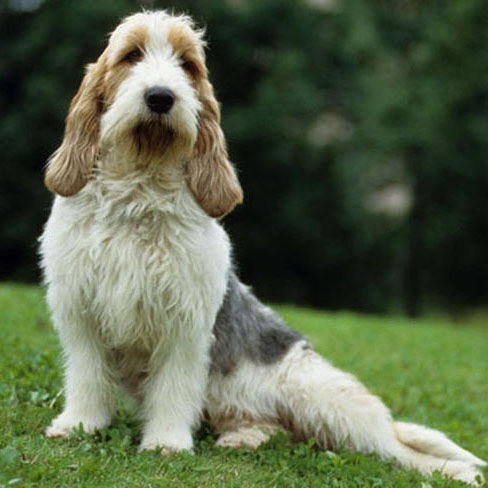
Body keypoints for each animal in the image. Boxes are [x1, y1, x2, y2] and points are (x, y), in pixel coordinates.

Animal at [39, 10, 488, 484]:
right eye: (131, 55)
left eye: (187, 65)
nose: (161, 97)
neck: (139, 190)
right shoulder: (80, 311)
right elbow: (88, 377)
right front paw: (80, 425)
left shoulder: (184, 323)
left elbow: (174, 385)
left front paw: (166, 443)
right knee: (277, 431)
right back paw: (244, 437)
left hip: (330, 405)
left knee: (401, 453)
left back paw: (459, 473)